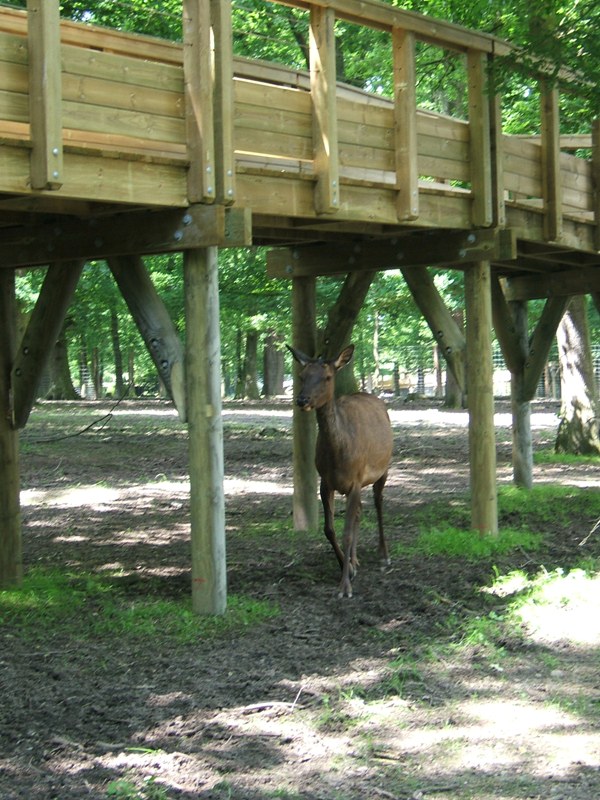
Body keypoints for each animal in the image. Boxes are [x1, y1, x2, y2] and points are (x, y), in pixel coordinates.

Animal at [288, 340, 394, 596]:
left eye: (327, 377)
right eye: (302, 375)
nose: (302, 400)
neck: (339, 457)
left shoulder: (355, 479)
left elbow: (346, 532)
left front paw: (345, 585)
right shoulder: (326, 482)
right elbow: (330, 529)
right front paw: (348, 567)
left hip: (383, 469)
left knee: (378, 504)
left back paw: (384, 555)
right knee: (358, 513)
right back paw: (355, 559)